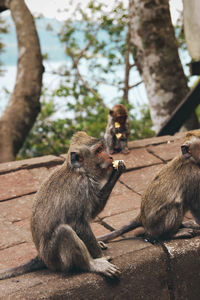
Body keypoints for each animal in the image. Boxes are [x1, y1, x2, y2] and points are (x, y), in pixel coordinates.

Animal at [0, 132, 125, 280]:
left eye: (102, 148)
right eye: (99, 150)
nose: (110, 157)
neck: (81, 171)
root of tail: (41, 257)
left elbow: (92, 211)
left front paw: (116, 173)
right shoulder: (80, 186)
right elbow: (78, 223)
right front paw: (100, 256)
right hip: (53, 258)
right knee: (64, 231)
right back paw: (91, 264)